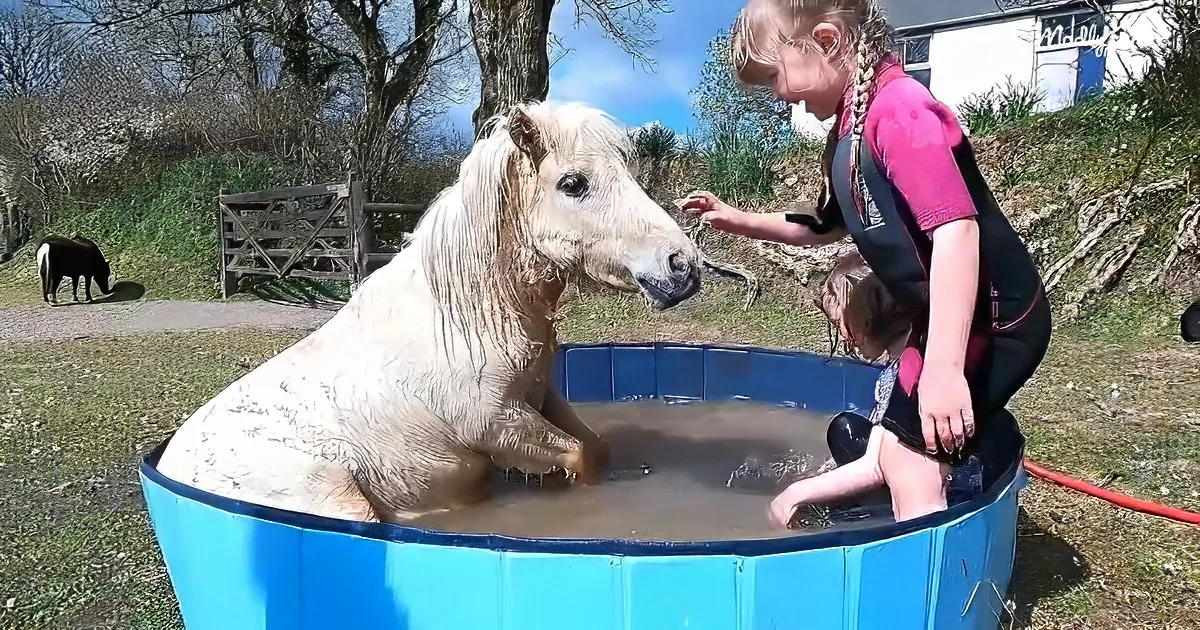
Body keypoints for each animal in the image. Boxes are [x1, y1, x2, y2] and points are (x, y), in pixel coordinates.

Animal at [155, 101, 704, 522]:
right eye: (573, 184)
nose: (682, 264)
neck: (463, 315)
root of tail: (167, 469)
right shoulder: (500, 426)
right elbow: (583, 456)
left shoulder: (542, 396)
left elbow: (596, 447)